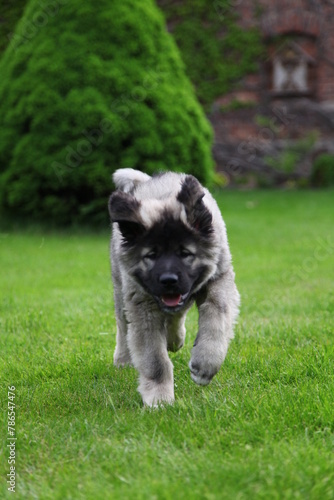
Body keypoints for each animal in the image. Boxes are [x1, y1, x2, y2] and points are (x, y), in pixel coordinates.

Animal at [109, 168, 240, 406]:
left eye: (185, 253)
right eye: (151, 255)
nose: (168, 280)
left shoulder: (219, 280)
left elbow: (216, 322)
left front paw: (205, 365)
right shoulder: (142, 306)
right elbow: (155, 361)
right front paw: (159, 398)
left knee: (177, 315)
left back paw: (175, 339)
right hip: (121, 291)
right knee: (123, 327)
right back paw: (123, 359)